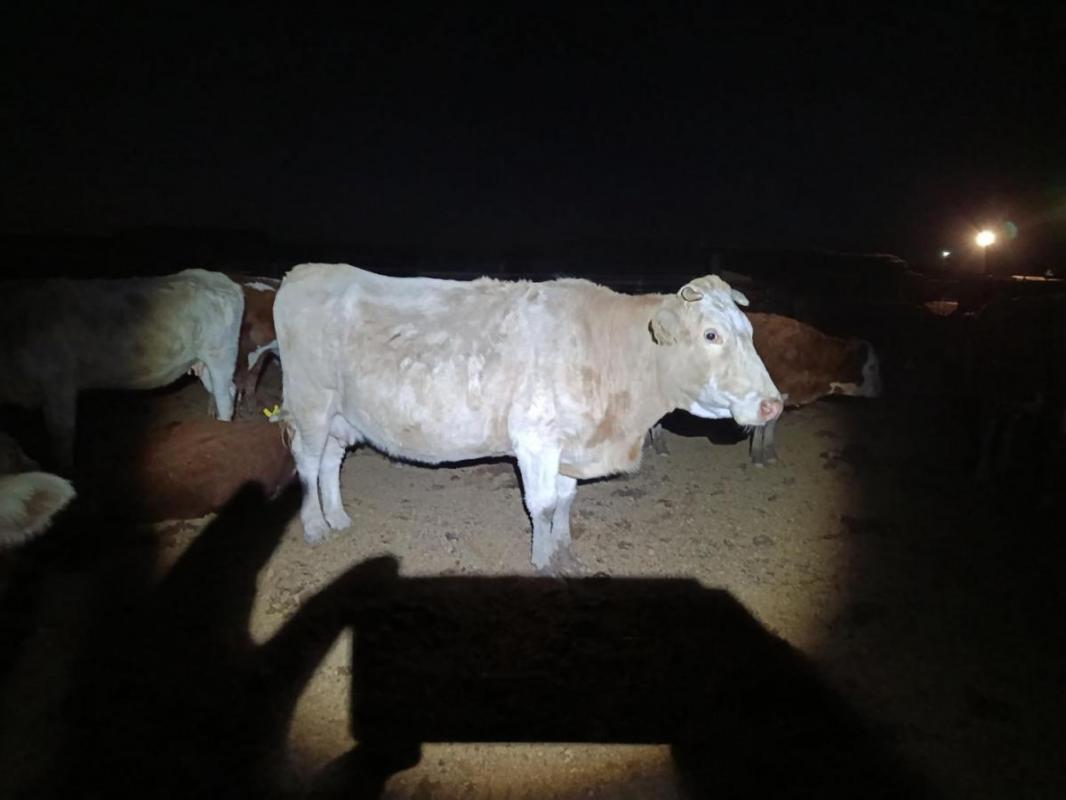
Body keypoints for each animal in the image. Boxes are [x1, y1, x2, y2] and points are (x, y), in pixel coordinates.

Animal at [0, 269, 244, 470]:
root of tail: (220, 278)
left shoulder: (59, 385)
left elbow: (62, 434)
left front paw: (66, 471)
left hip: (221, 355)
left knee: (225, 396)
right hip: (203, 361)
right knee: (224, 390)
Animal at [275, 264, 783, 571]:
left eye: (749, 331)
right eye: (711, 335)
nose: (773, 403)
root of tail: (308, 271)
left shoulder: (570, 444)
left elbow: (566, 501)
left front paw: (564, 551)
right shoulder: (536, 441)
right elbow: (542, 505)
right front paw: (543, 560)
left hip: (341, 415)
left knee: (329, 462)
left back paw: (338, 516)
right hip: (310, 402)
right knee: (307, 462)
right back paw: (316, 525)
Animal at [647, 312, 881, 464]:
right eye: (871, 366)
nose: (881, 391)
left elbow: (771, 424)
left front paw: (769, 453)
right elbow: (761, 426)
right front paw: (758, 456)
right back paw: (659, 447)